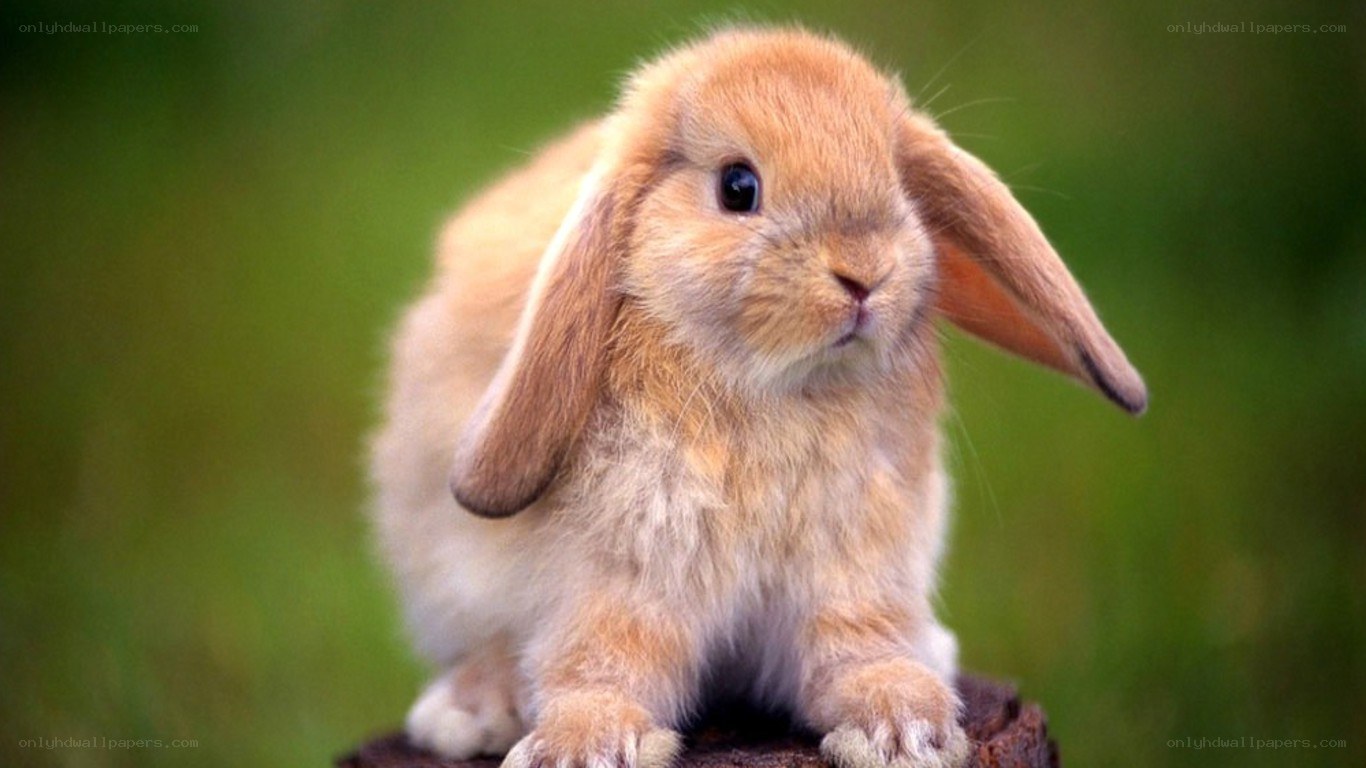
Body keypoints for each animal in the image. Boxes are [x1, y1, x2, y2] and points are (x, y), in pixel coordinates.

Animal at [369, 25, 1146, 768]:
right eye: (738, 187)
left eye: (896, 180)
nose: (864, 274)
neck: (778, 387)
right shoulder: (624, 571)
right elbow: (604, 659)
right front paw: (583, 745)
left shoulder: (853, 566)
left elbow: (855, 648)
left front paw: (904, 730)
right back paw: (470, 712)